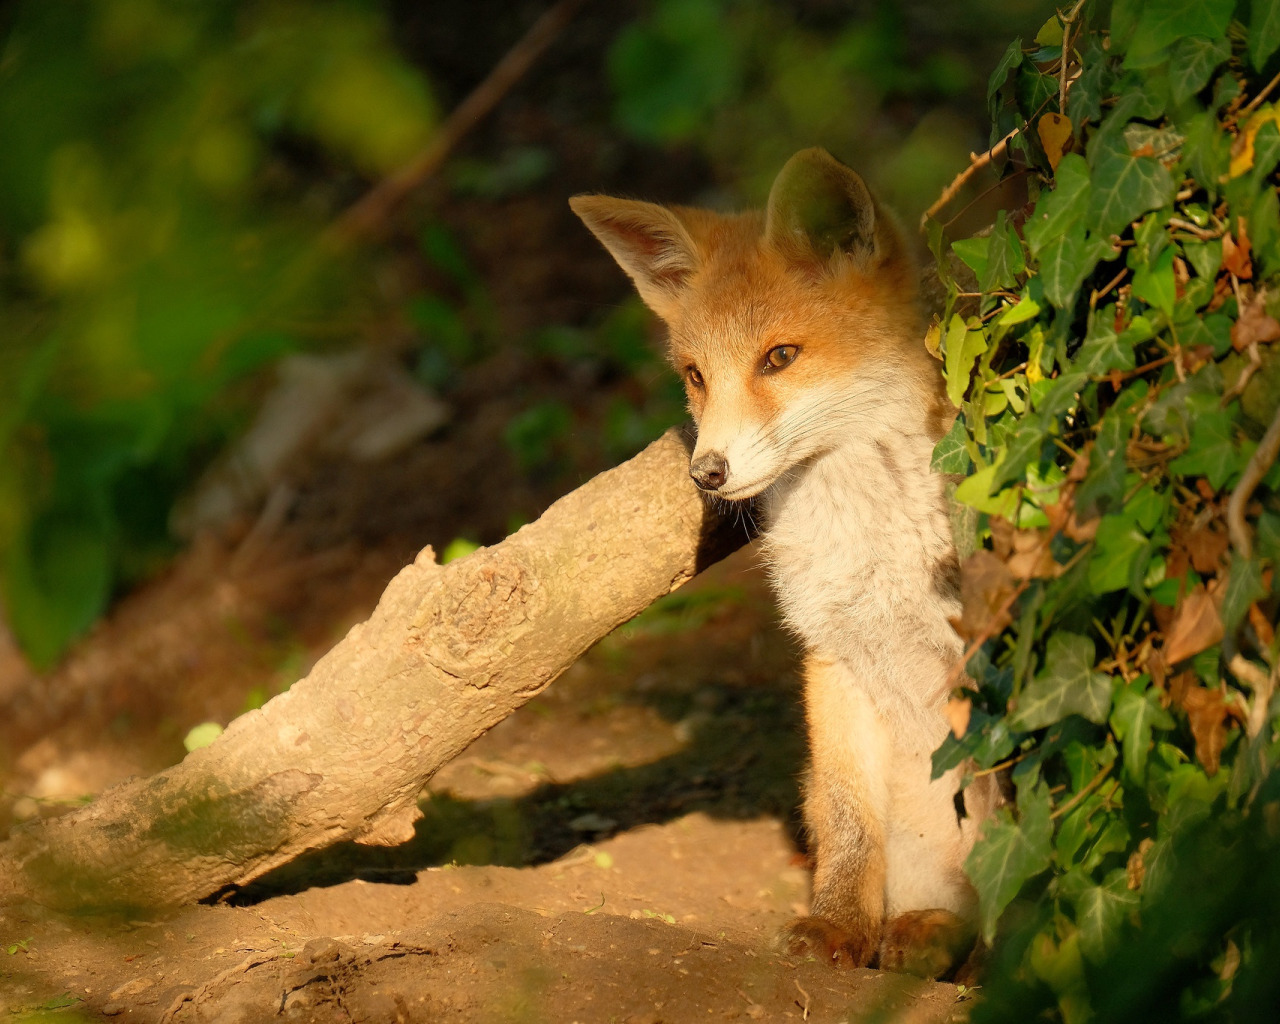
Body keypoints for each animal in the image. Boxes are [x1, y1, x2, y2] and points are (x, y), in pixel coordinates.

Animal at [570, 145, 998, 977]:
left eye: (780, 358)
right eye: (696, 375)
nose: (706, 473)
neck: (870, 544)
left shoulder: (976, 649)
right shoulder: (831, 654)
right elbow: (847, 823)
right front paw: (837, 925)